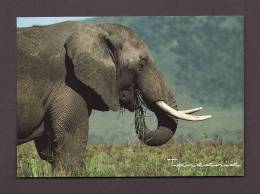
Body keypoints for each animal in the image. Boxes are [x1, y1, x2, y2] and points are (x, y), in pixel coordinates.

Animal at [16, 21, 211, 174]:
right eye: (141, 64)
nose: (137, 97)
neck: (97, 30)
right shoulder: (68, 84)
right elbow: (71, 144)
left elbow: (48, 149)